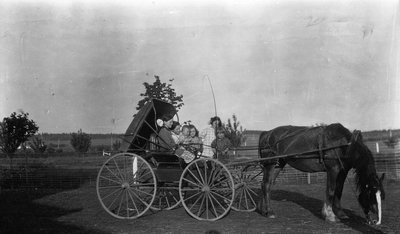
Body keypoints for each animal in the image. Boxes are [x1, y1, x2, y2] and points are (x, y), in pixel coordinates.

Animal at [256, 123, 384, 226]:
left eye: (381, 195)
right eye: (371, 195)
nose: (376, 221)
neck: (344, 145)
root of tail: (267, 133)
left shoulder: (343, 171)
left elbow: (339, 190)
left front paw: (340, 213)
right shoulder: (333, 170)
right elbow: (331, 191)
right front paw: (330, 215)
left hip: (278, 164)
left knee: (266, 184)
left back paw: (262, 210)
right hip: (270, 164)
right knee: (266, 185)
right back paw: (269, 212)